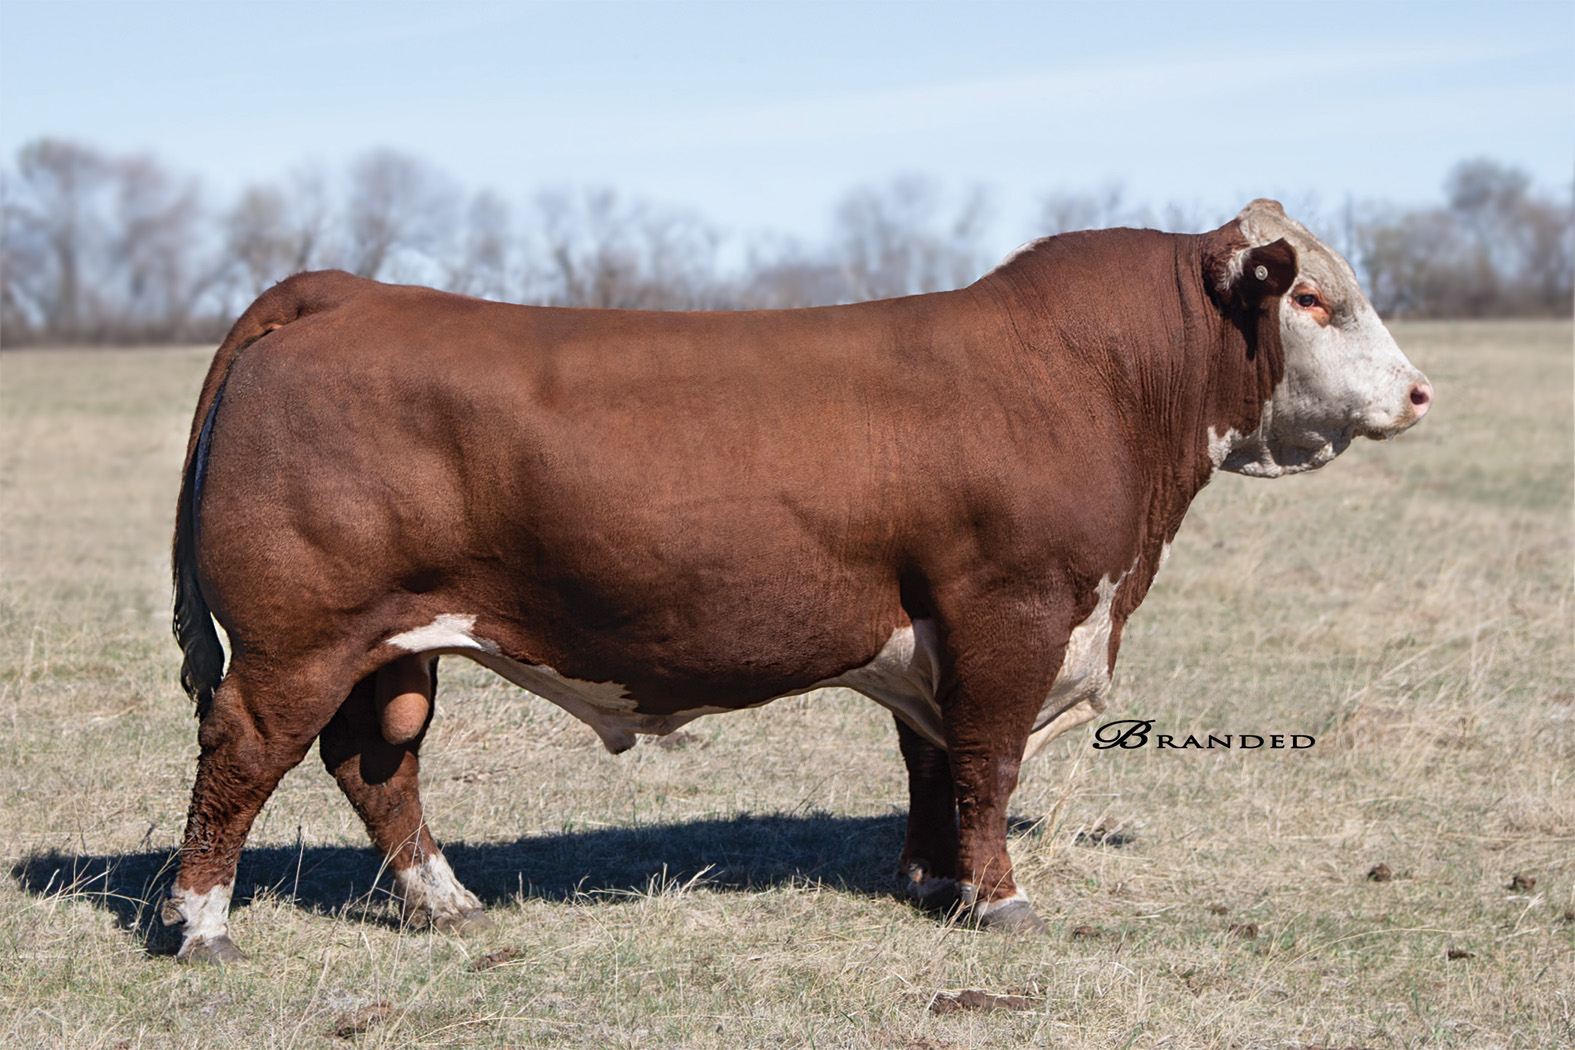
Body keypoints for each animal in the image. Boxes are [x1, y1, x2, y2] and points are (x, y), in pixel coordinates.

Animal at [163, 196, 1430, 963]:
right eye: (1313, 298)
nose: (1420, 393)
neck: (1098, 381)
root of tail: (349, 290)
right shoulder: (1013, 614)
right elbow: (988, 763)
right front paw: (1002, 900)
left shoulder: (936, 636)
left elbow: (933, 764)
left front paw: (934, 882)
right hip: (297, 638)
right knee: (244, 750)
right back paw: (203, 922)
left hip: (394, 644)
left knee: (377, 761)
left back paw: (443, 899)